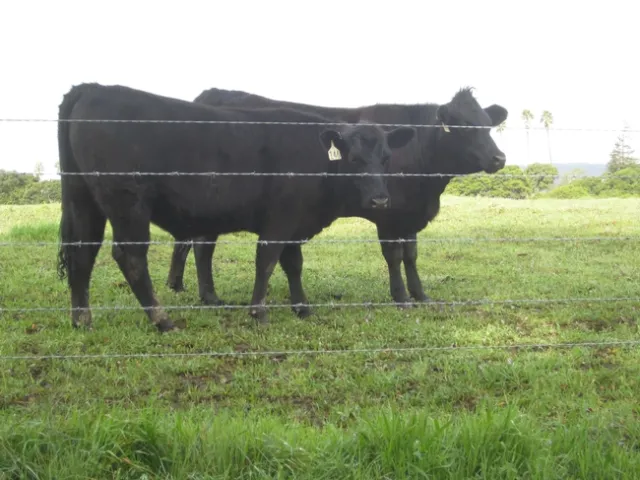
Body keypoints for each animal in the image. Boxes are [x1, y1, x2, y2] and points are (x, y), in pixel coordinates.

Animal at [56, 83, 416, 332]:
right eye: (354, 159)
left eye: (386, 158)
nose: (380, 199)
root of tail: (93, 88)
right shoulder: (280, 221)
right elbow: (266, 261)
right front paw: (259, 312)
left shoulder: (295, 223)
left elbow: (293, 264)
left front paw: (302, 307)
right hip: (127, 202)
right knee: (130, 256)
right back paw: (161, 319)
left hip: (82, 199)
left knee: (82, 252)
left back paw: (81, 319)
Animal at [166, 86, 508, 313]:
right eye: (464, 127)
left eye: (489, 126)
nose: (499, 158)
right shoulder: (387, 214)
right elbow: (394, 256)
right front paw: (401, 298)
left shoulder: (408, 214)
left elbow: (411, 256)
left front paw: (420, 295)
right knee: (201, 246)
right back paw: (208, 296)